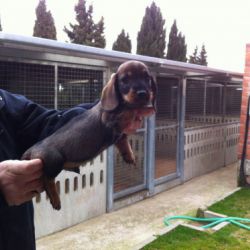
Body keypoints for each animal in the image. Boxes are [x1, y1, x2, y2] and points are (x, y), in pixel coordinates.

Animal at [22, 60, 157, 209]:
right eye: (125, 80)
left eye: (147, 78)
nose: (142, 93)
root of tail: (30, 150)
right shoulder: (110, 119)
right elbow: (128, 110)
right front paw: (144, 108)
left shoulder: (120, 134)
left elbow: (124, 142)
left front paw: (129, 156)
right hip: (55, 160)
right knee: (47, 179)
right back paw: (55, 199)